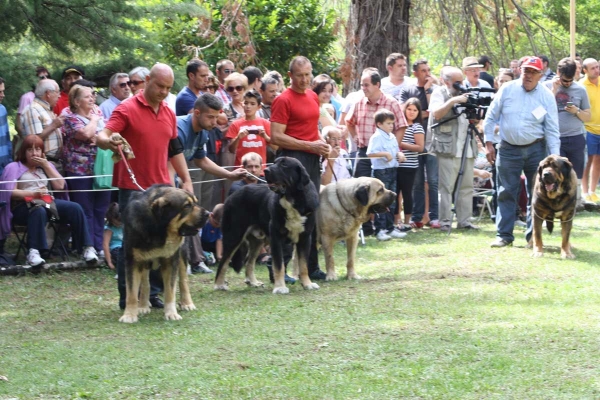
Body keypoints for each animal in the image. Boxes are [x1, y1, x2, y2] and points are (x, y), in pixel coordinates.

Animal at [119, 184, 209, 322]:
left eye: (195, 202)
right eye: (187, 206)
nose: (208, 214)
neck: (157, 228)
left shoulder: (171, 260)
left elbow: (170, 291)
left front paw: (171, 313)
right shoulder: (133, 260)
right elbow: (132, 292)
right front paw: (129, 315)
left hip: (182, 254)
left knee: (183, 280)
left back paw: (187, 303)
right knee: (145, 284)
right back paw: (143, 305)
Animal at [214, 157, 322, 294]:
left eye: (284, 165)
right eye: (274, 162)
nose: (266, 170)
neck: (292, 199)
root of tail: (233, 194)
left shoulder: (305, 237)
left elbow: (303, 264)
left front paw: (307, 284)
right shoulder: (276, 237)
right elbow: (279, 265)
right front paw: (280, 287)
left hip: (257, 241)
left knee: (249, 261)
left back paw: (253, 282)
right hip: (234, 236)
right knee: (224, 262)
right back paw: (219, 285)